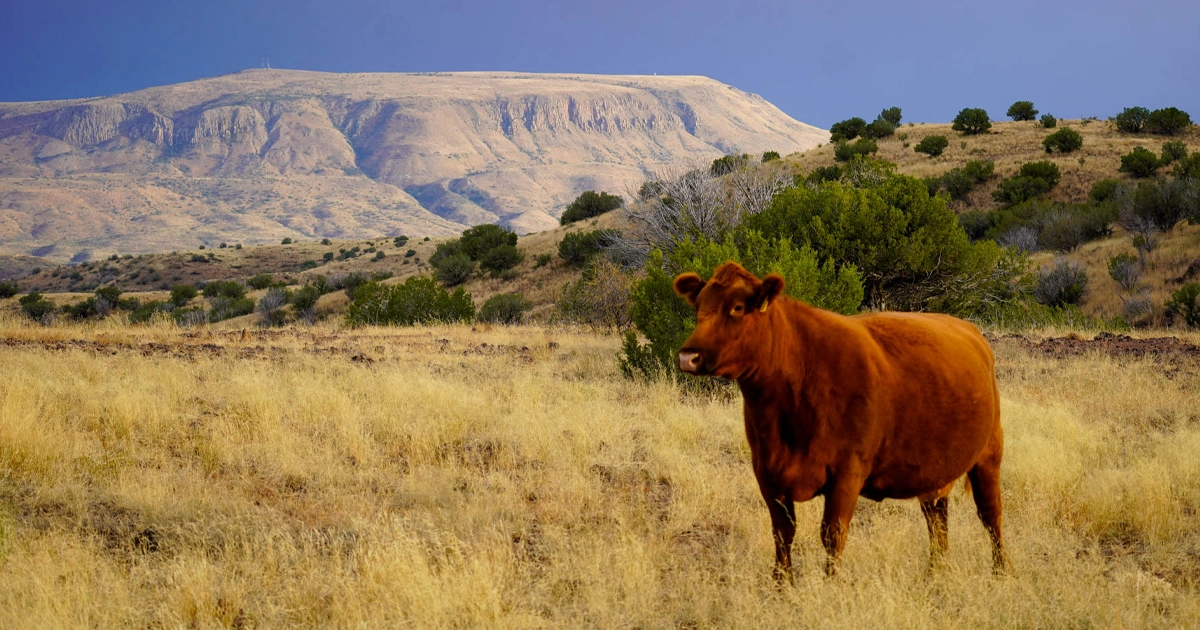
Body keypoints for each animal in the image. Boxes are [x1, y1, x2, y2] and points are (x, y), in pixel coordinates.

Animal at [673, 262, 1008, 583]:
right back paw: (935, 573)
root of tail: (968, 328)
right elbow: (782, 533)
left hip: (989, 453)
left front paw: (831, 585)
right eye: (699, 307)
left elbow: (832, 534)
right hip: (935, 470)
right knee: (937, 517)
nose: (688, 357)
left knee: (991, 514)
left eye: (738, 308)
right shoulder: (766, 472)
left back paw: (1001, 572)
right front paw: (781, 586)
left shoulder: (847, 472)